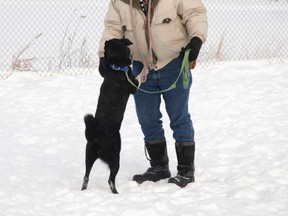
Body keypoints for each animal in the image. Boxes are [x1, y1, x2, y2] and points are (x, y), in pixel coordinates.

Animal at [80, 38, 138, 194]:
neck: (117, 67)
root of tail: (97, 136)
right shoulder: (134, 86)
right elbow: (138, 81)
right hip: (115, 159)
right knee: (110, 180)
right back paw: (116, 193)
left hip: (89, 156)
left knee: (86, 177)